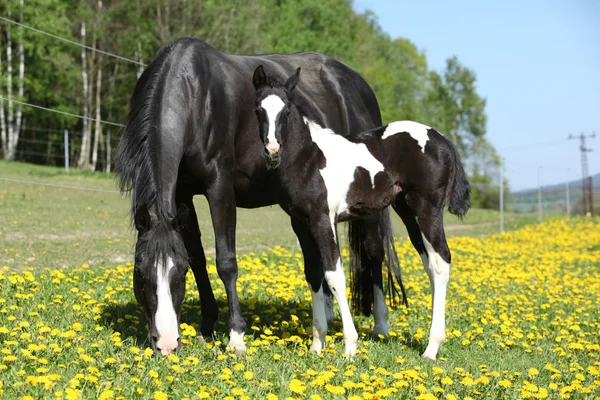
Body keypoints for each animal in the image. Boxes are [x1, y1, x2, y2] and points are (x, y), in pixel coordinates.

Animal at [112, 37, 404, 354]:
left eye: (179, 274)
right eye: (140, 273)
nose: (166, 344)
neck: (196, 95)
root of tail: (357, 84)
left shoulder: (220, 187)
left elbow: (226, 262)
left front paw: (236, 335)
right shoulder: (182, 195)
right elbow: (198, 258)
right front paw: (206, 327)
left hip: (370, 209)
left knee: (374, 252)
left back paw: (380, 325)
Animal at [251, 65, 472, 360]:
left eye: (286, 111)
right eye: (258, 110)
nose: (272, 152)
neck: (309, 158)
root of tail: (442, 139)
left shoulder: (323, 220)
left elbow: (334, 275)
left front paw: (350, 345)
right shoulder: (300, 223)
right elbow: (314, 275)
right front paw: (317, 345)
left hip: (427, 209)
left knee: (440, 261)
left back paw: (431, 347)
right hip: (406, 211)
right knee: (430, 264)